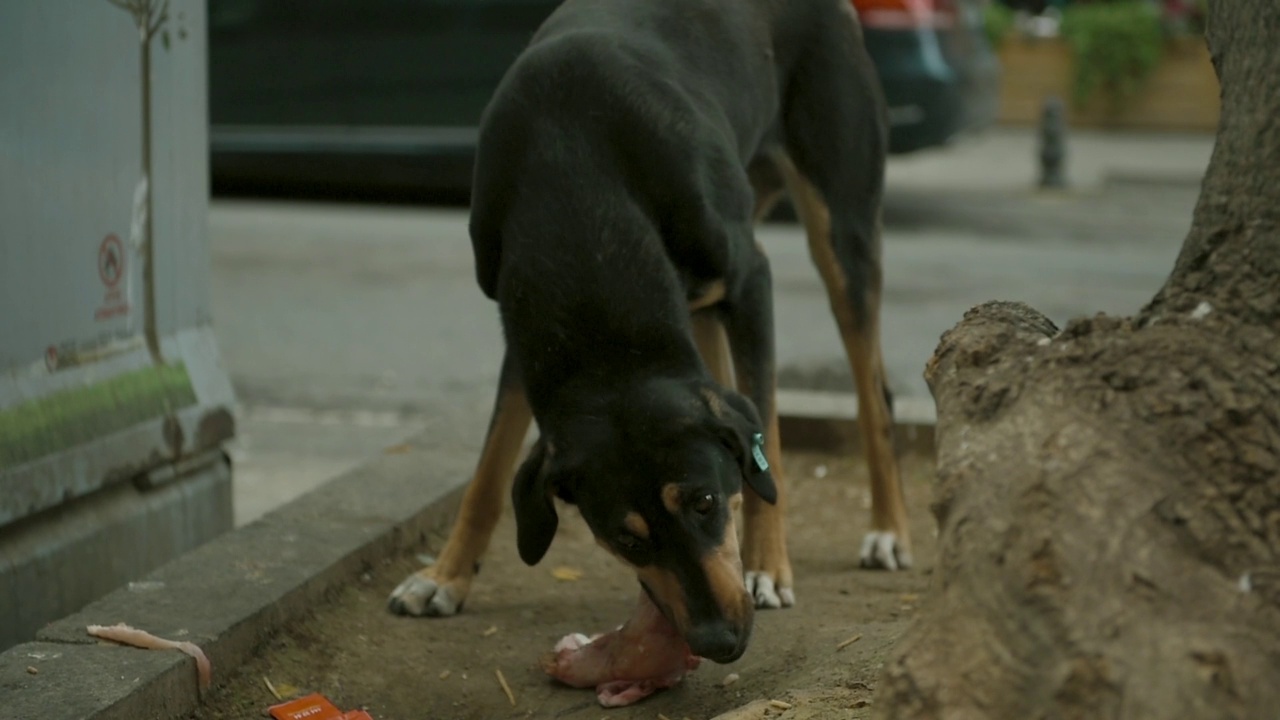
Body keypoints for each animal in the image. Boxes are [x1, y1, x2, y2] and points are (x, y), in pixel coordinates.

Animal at [386, 0, 911, 661]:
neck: (574, 176)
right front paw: (445, 577)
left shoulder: (751, 281)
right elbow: (487, 472)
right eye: (626, 540)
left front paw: (767, 566)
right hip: (702, 297)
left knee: (875, 395)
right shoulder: (526, 330)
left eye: (705, 503)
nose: (720, 643)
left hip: (842, 227)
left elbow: (768, 432)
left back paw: (888, 531)